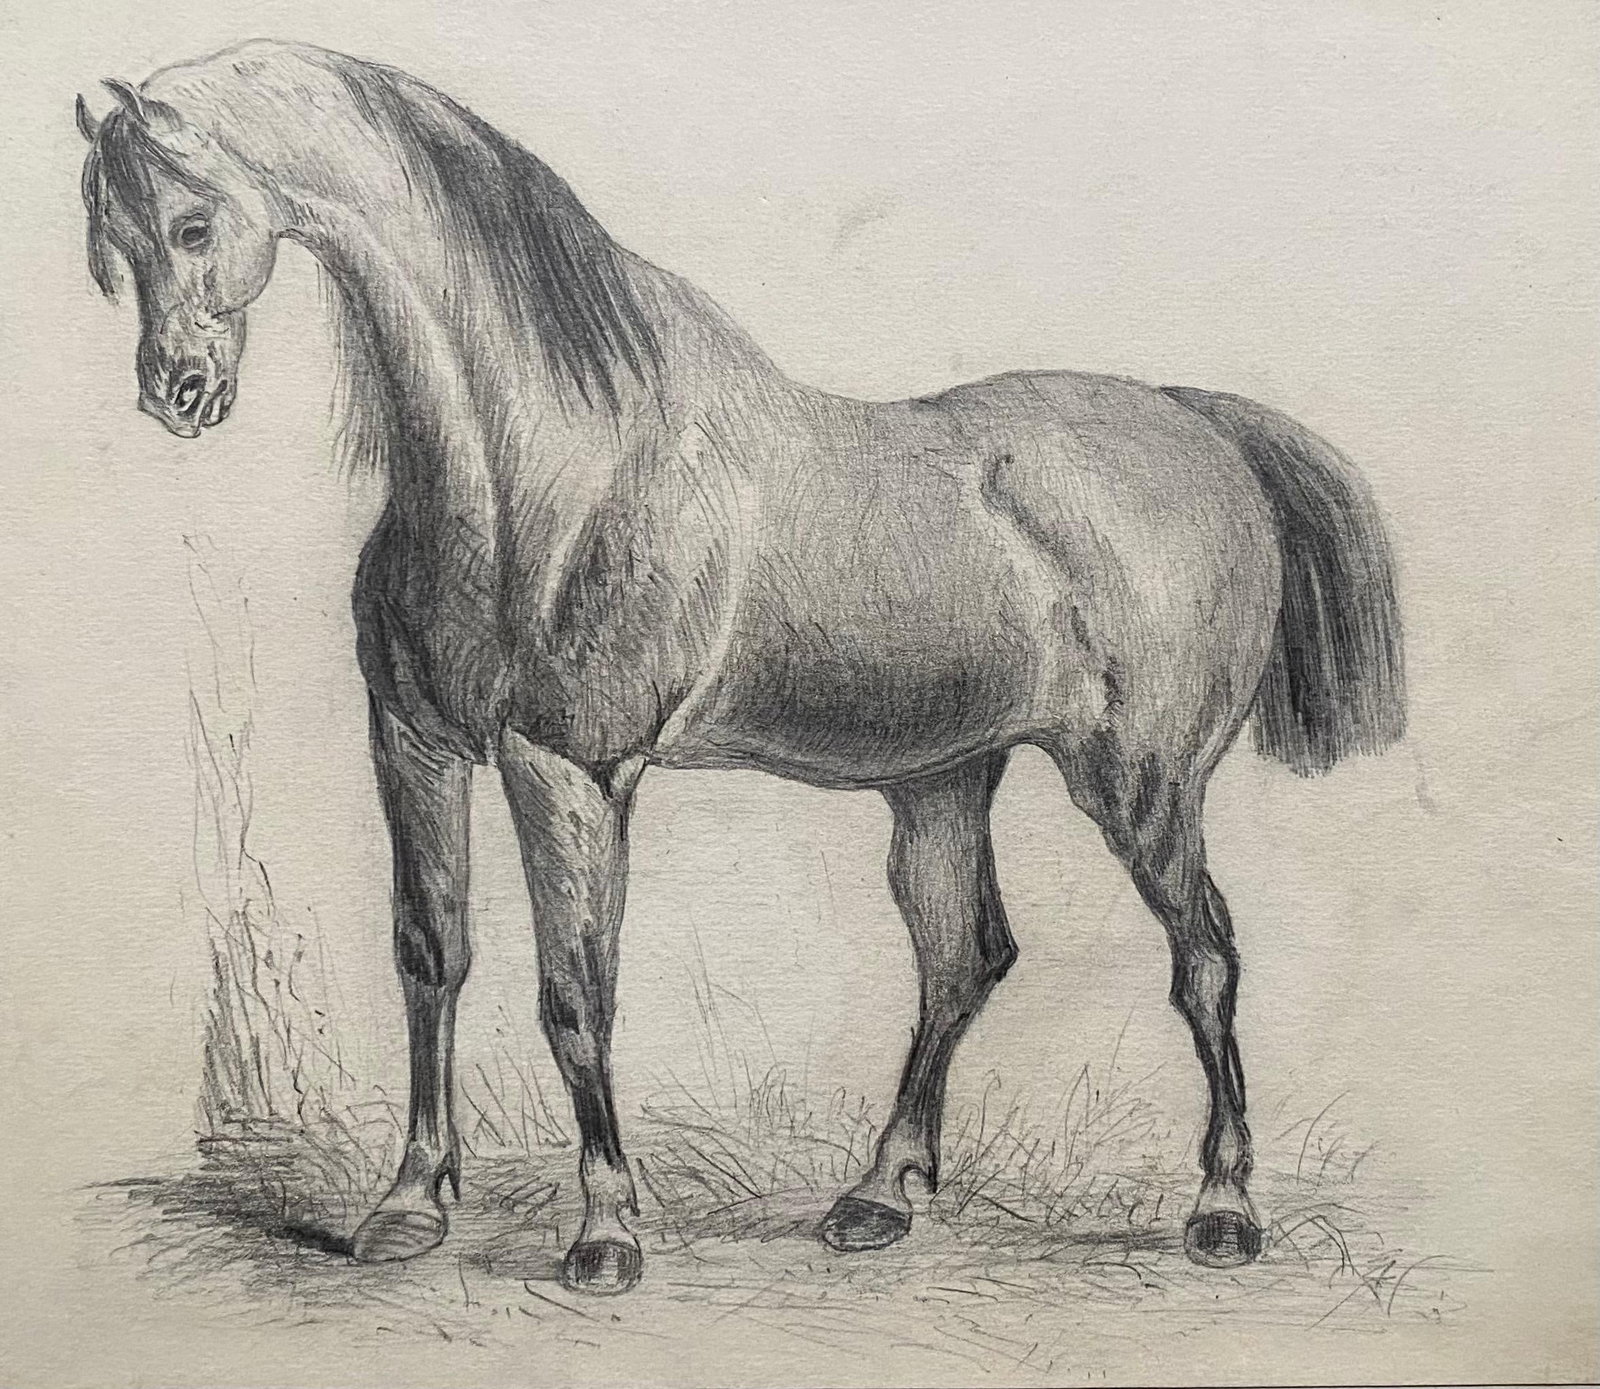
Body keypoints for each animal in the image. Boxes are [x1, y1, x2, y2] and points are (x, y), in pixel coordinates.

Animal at [78, 40, 1405, 1295]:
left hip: (1140, 786)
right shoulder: (415, 745)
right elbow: (430, 956)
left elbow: (576, 990)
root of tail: (1200, 424)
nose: (177, 395)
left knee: (1205, 959)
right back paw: (875, 1197)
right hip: (942, 781)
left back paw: (1222, 1212)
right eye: (109, 249)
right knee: (963, 958)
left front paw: (605, 1234)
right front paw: (408, 1206)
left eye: (191, 224)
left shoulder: (568, 769)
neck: (535, 470)